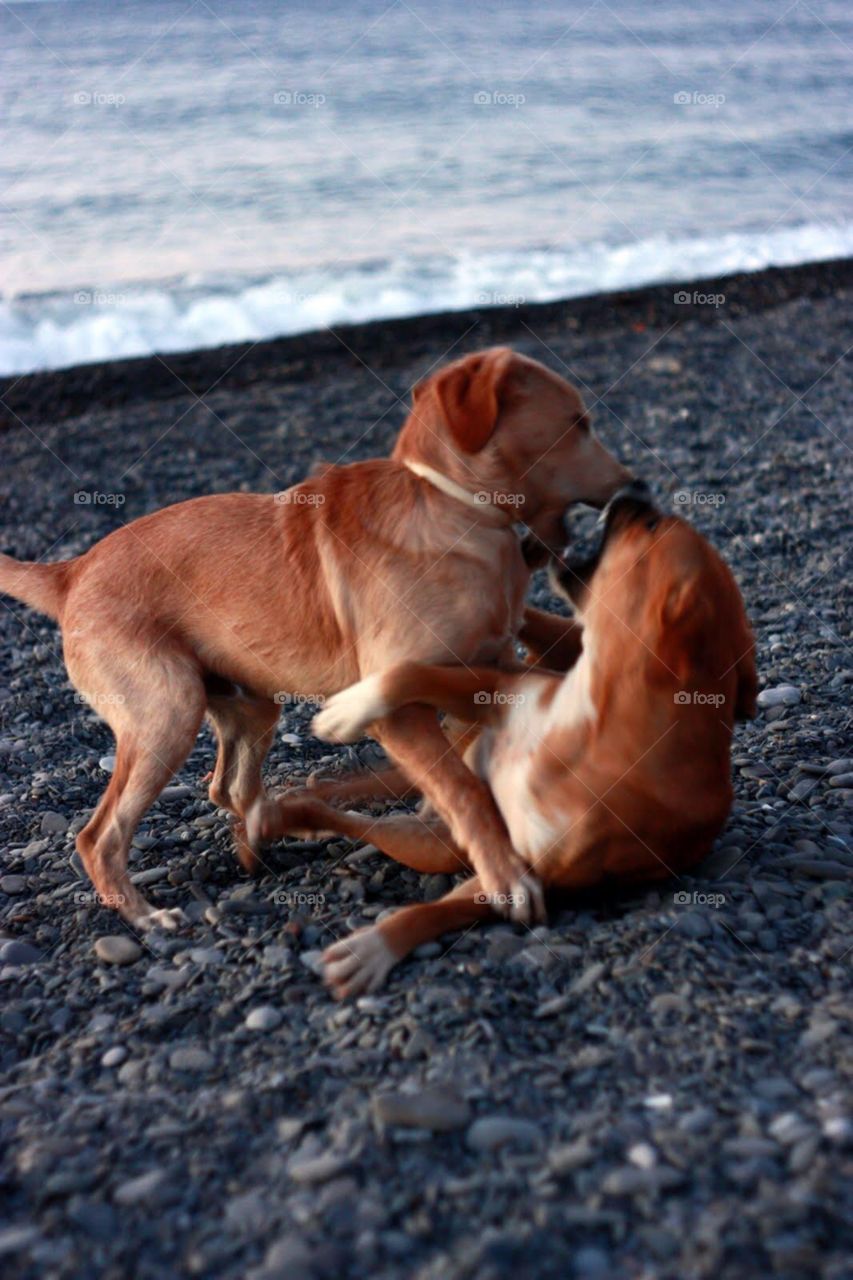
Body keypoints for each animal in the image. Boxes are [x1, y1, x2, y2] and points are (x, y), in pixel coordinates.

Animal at [0, 350, 625, 931]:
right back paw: (147, 915)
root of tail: (73, 572)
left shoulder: (489, 667)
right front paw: (505, 876)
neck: (450, 506)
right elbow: (462, 786)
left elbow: (471, 747)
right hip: (166, 711)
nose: (631, 486)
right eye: (578, 423)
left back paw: (265, 834)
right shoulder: (399, 709)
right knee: (100, 835)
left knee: (226, 787)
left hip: (250, 706)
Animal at [249, 483, 753, 993]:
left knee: (362, 819)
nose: (635, 492)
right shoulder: (497, 692)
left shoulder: (528, 872)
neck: (594, 718)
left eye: (650, 526)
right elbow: (407, 673)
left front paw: (373, 949)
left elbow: (440, 910)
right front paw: (347, 711)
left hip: (433, 844)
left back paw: (287, 814)